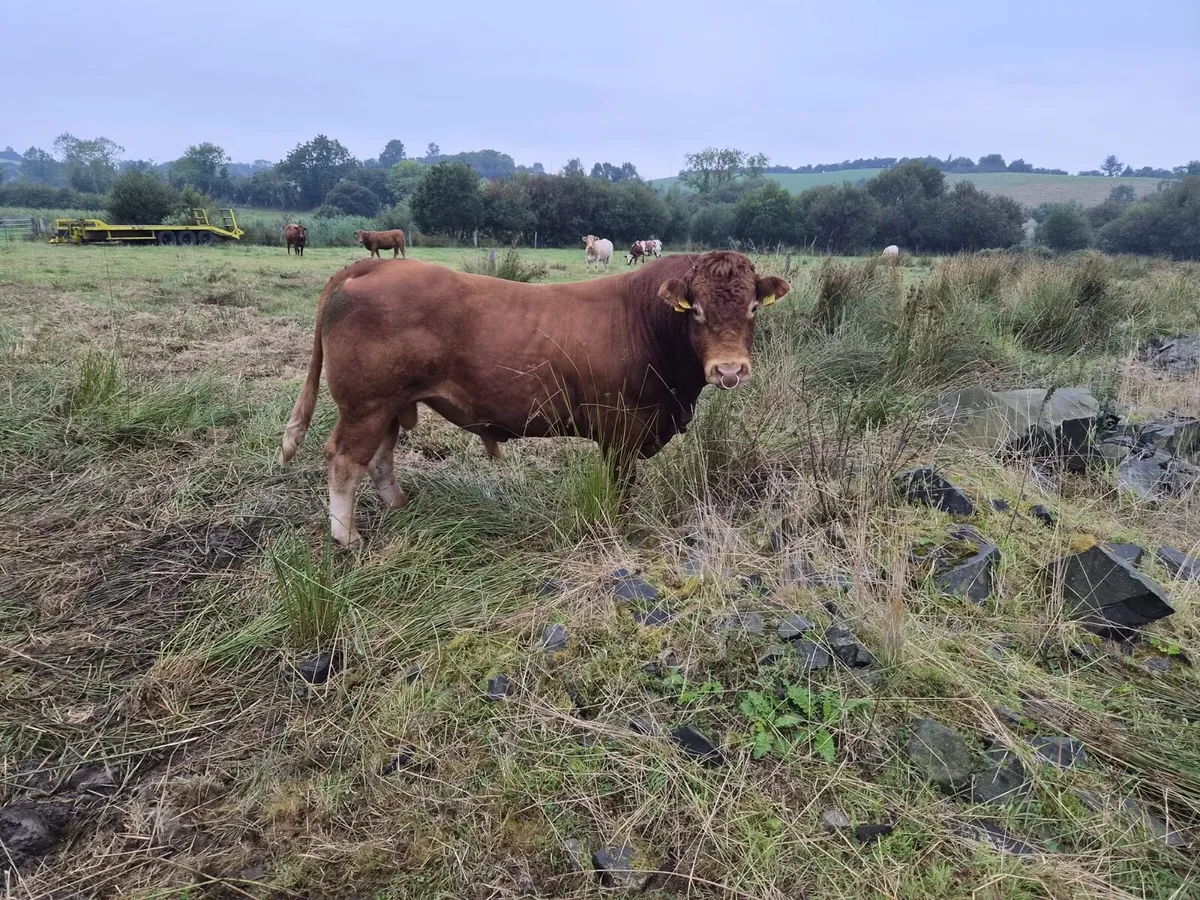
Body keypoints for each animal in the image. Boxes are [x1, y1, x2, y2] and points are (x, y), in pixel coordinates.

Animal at [280, 252, 790, 546]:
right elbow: (621, 487)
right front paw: (621, 526)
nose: (729, 370)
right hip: (365, 405)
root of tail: (377, 265)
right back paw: (347, 537)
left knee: (381, 456)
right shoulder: (623, 426)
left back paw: (398, 505)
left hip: (388, 404)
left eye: (752, 307)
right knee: (345, 459)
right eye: (696, 310)